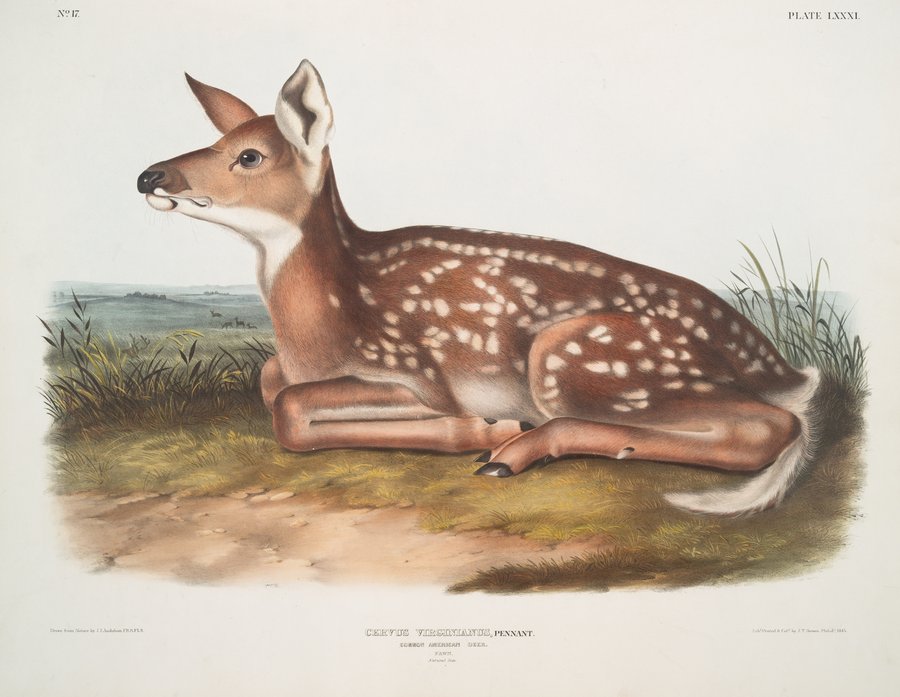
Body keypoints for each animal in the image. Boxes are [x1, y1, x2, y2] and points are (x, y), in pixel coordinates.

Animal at [137, 60, 820, 516]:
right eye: (217, 141)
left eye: (249, 156)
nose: (149, 175)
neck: (319, 331)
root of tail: (784, 368)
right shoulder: (296, 366)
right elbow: (270, 381)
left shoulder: (418, 371)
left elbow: (290, 408)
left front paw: (479, 429)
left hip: (576, 357)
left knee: (773, 428)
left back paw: (510, 447)